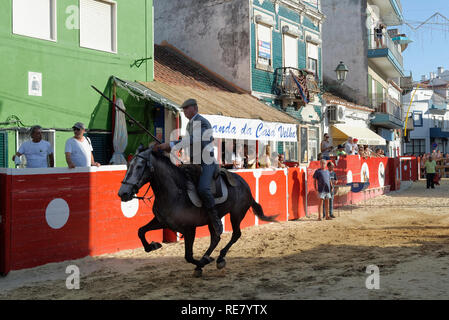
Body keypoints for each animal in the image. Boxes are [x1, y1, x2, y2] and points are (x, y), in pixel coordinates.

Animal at [117, 146, 276, 276]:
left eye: (139, 166)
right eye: (128, 166)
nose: (123, 193)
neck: (174, 192)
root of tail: (244, 184)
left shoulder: (189, 229)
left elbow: (188, 256)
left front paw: (203, 262)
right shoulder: (162, 222)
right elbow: (141, 231)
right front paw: (153, 246)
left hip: (236, 214)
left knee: (235, 234)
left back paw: (219, 258)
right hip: (213, 219)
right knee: (216, 238)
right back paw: (208, 259)